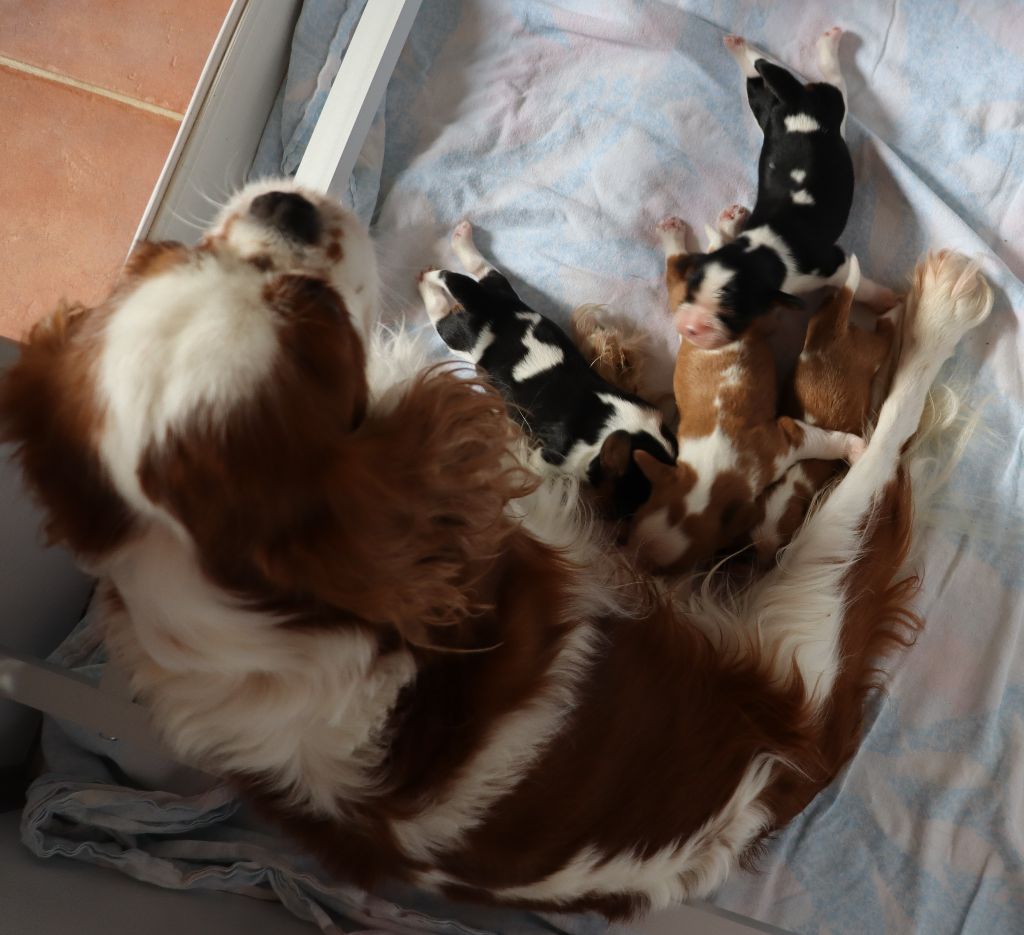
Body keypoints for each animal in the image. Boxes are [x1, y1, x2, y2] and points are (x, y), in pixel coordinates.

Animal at [419, 223, 675, 522]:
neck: (614, 426)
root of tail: (492, 307)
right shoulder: (548, 458)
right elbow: (537, 474)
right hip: (461, 338)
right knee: (441, 312)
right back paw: (425, 280)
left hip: (500, 291)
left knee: (484, 271)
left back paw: (461, 238)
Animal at [630, 217, 864, 569]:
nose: (626, 553)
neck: (708, 480)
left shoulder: (785, 440)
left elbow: (824, 440)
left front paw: (855, 448)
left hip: (686, 303)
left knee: (679, 268)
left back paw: (682, 232)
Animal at [671, 30, 897, 350]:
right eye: (690, 288)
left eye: (730, 314)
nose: (686, 327)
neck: (763, 249)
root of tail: (796, 101)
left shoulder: (832, 264)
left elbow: (860, 284)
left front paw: (884, 299)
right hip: (767, 112)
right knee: (757, 77)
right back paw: (737, 46)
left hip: (829, 104)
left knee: (834, 82)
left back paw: (829, 43)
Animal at [753, 257, 897, 561]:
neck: (793, 480)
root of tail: (834, 332)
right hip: (820, 322)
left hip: (871, 352)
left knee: (886, 329)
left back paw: (894, 310)